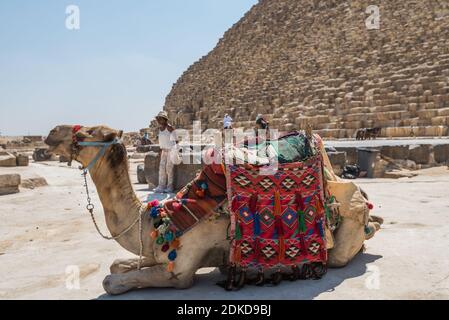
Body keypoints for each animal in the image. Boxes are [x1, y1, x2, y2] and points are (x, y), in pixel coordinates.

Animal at [45, 124, 382, 296]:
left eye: (86, 133)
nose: (50, 134)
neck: (157, 220)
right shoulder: (156, 251)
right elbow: (117, 264)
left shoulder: (179, 273)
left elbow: (111, 281)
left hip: (344, 237)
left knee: (344, 252)